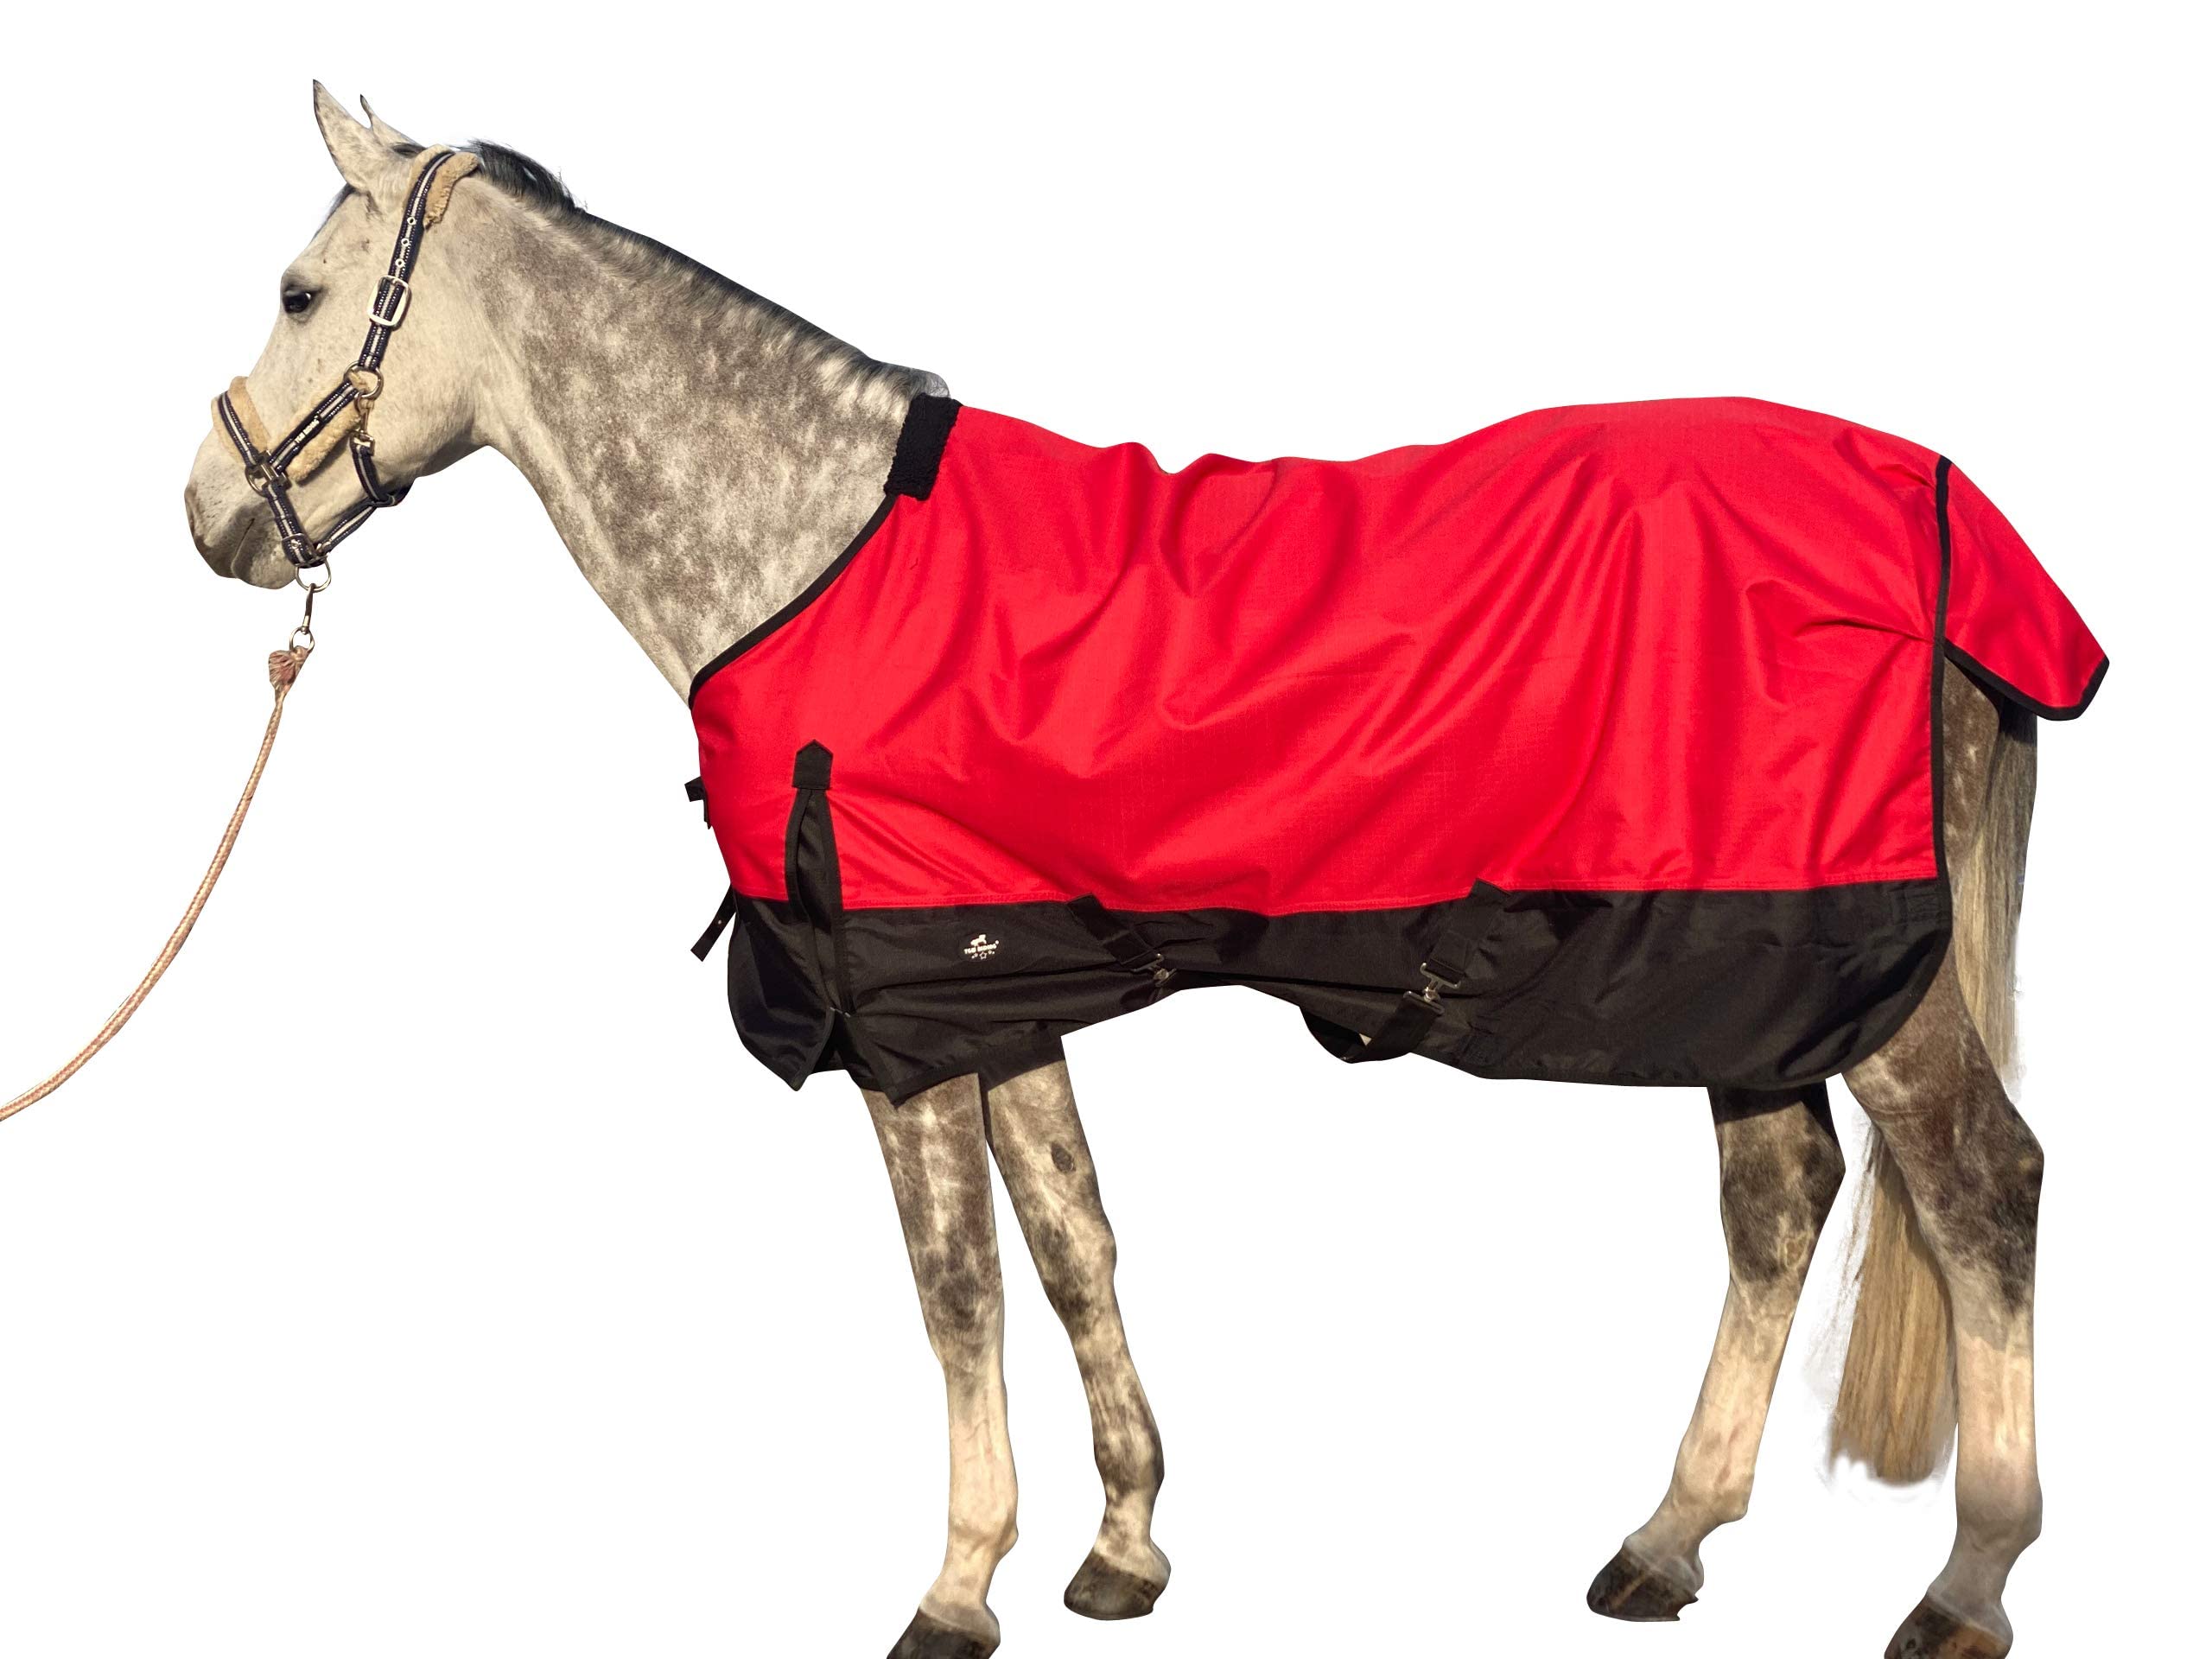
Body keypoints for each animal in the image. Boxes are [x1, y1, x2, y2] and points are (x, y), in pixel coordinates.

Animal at [181, 87, 2091, 1659]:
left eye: (296, 293)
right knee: (1778, 1201)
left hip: (1865, 980)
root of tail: (1948, 522)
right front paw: (1119, 1551)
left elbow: (956, 1291)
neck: (815, 552)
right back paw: (1664, 1542)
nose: (208, 514)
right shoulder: (996, 983)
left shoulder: (902, 1020)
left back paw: (1964, 1588)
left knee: (1980, 1190)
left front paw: (956, 1590)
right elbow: (1073, 1245)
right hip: (1743, 969)